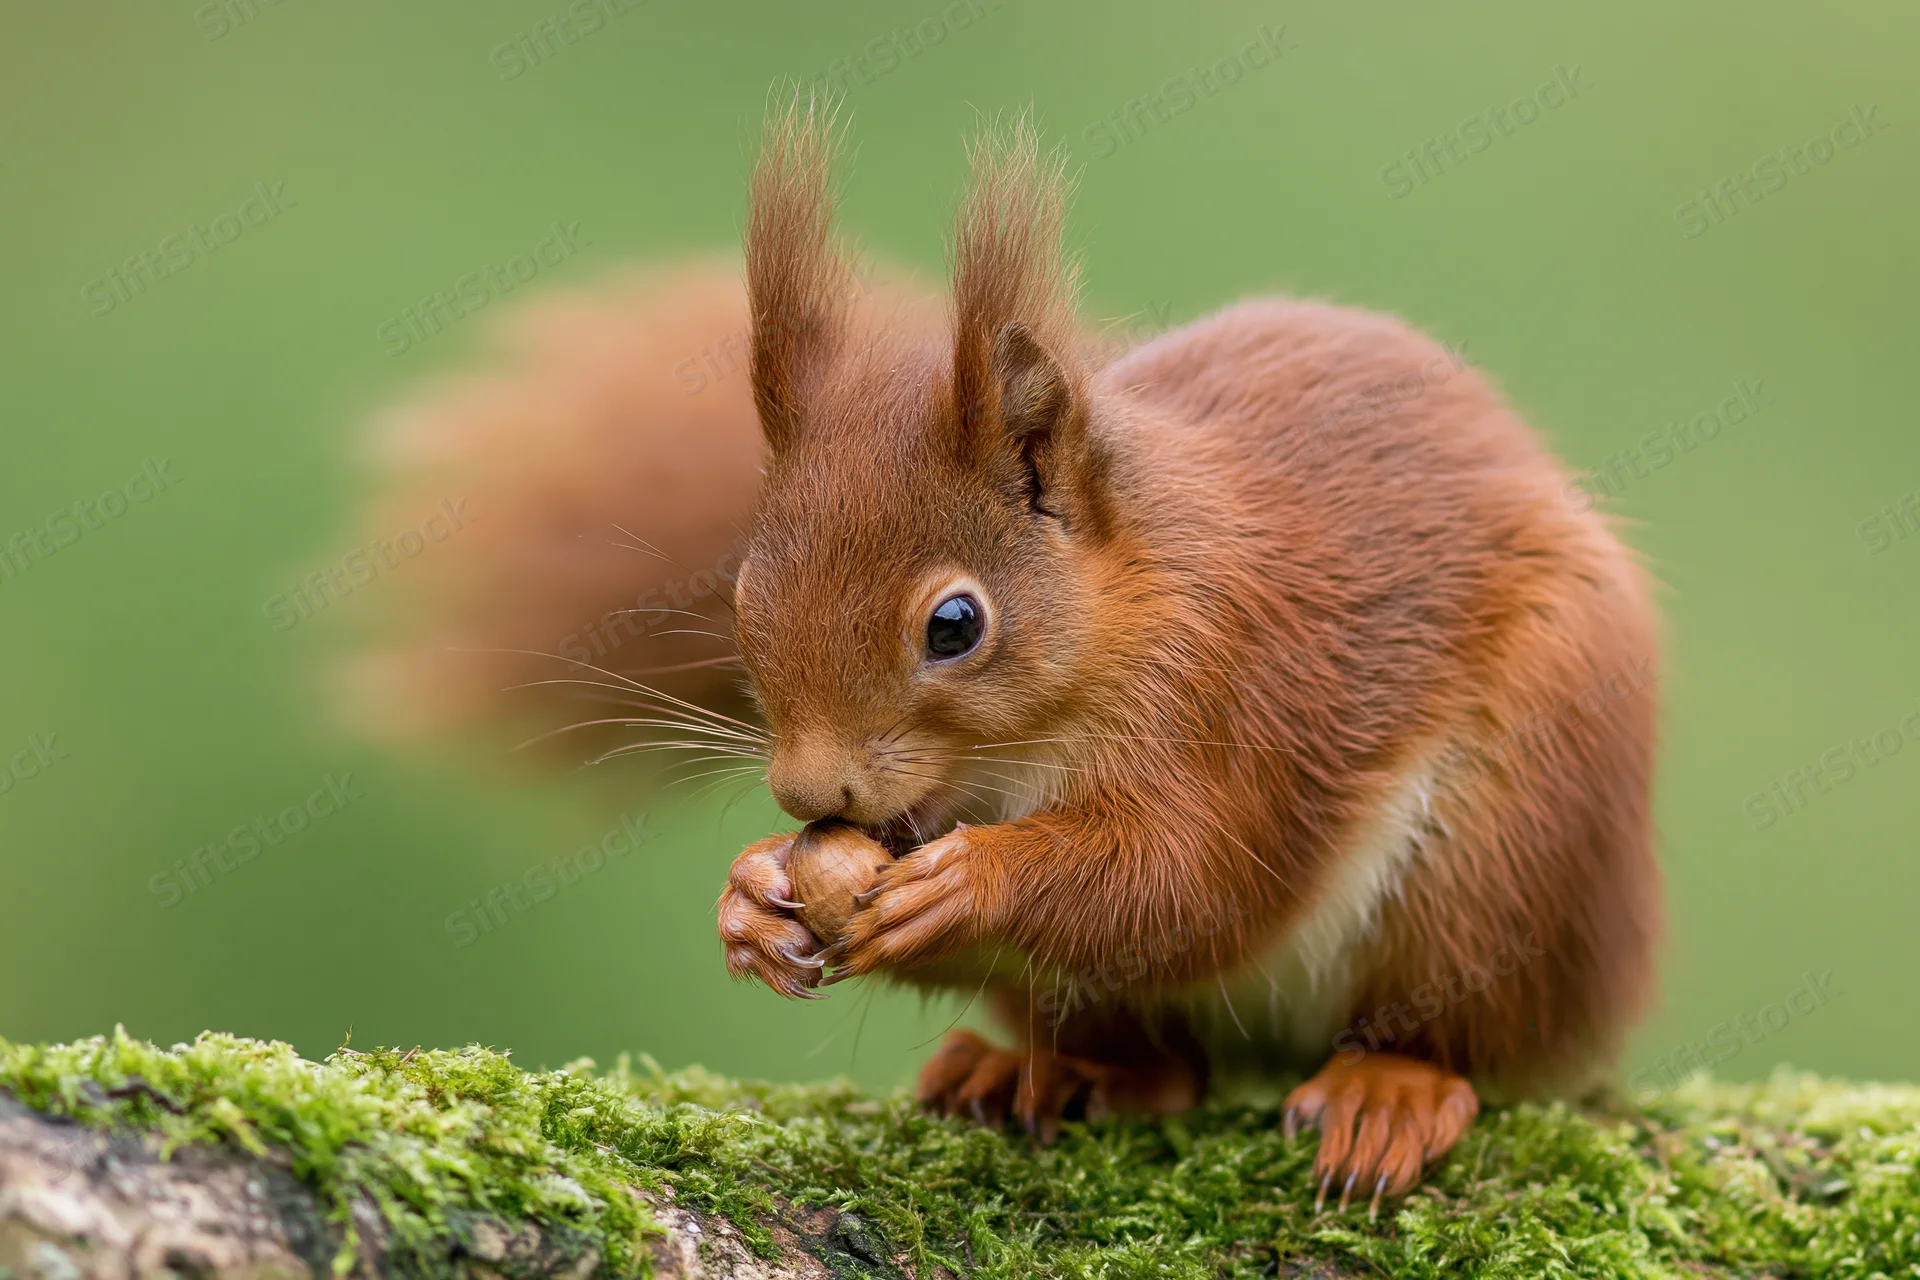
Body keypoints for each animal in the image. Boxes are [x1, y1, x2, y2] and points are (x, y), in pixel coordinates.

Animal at [351, 105, 1660, 1212]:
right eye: (741, 595)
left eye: (955, 625)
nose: (809, 792)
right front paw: (751, 897)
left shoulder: (1237, 682)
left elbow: (1189, 879)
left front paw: (971, 885)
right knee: (1161, 1071)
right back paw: (1046, 1069)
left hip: (1510, 850)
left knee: (1459, 1027)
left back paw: (1390, 1087)